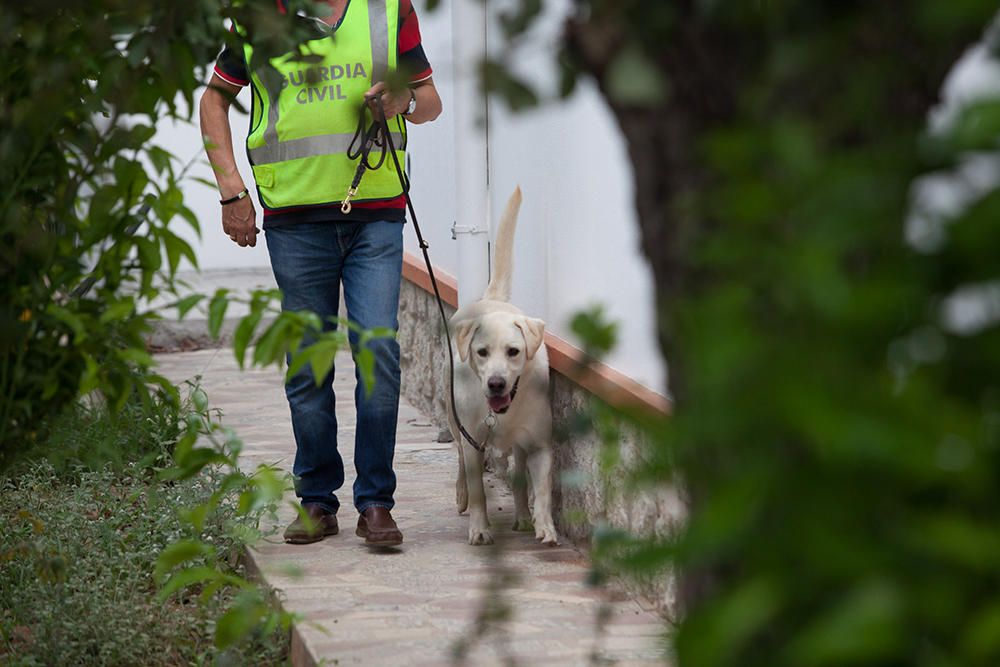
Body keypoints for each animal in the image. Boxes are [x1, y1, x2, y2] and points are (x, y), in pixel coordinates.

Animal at [450, 188, 560, 548]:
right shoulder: (473, 442)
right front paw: (480, 528)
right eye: (481, 352)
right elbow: (479, 492)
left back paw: (524, 517)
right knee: (459, 459)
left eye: (514, 351)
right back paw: (461, 496)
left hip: (520, 443)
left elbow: (541, 490)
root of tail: (492, 297)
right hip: (453, 419)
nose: (496, 383)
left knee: (518, 475)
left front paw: (545, 525)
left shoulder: (539, 444)